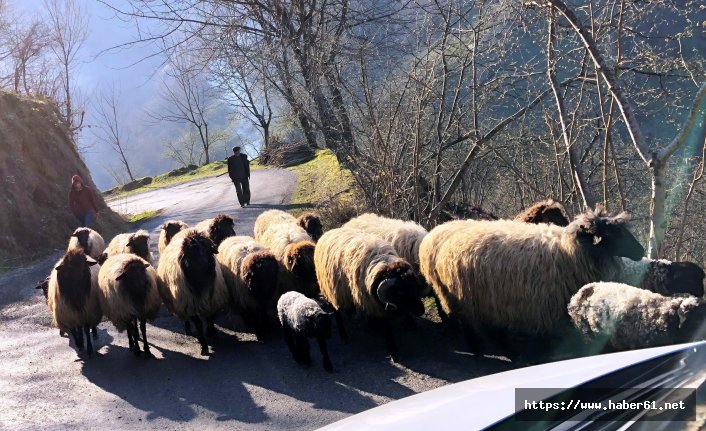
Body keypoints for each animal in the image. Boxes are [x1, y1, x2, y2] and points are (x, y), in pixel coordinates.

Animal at [157, 228, 228, 356]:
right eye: (189, 254)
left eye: (206, 250)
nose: (202, 264)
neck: (200, 282)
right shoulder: (190, 304)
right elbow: (198, 325)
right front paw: (204, 346)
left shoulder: (212, 299)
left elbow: (210, 317)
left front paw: (211, 332)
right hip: (182, 302)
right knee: (185, 318)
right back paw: (188, 330)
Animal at [314, 226, 424, 362]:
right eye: (400, 292)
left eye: (414, 285)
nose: (421, 310)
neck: (381, 264)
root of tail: (327, 232)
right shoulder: (376, 305)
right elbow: (387, 328)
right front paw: (394, 351)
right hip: (331, 289)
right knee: (336, 313)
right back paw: (344, 336)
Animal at [418, 205, 644, 358]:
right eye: (613, 233)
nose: (641, 251)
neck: (572, 251)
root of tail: (436, 233)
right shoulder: (547, 305)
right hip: (459, 297)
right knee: (470, 325)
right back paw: (485, 352)